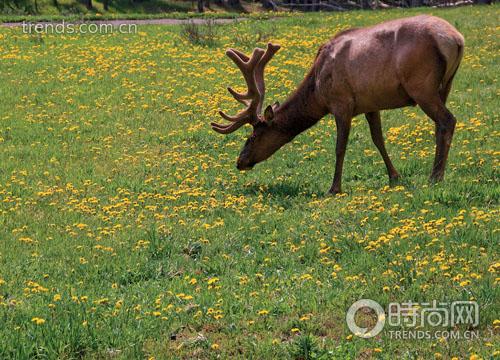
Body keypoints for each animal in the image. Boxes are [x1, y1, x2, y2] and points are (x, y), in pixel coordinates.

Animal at [211, 15, 464, 194]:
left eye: (251, 137)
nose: (240, 162)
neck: (317, 93)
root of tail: (456, 39)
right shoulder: (371, 104)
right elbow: (378, 140)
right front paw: (394, 176)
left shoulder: (341, 103)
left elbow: (340, 147)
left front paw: (334, 188)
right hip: (445, 85)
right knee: (439, 126)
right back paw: (437, 172)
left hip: (421, 86)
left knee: (448, 120)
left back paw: (435, 177)